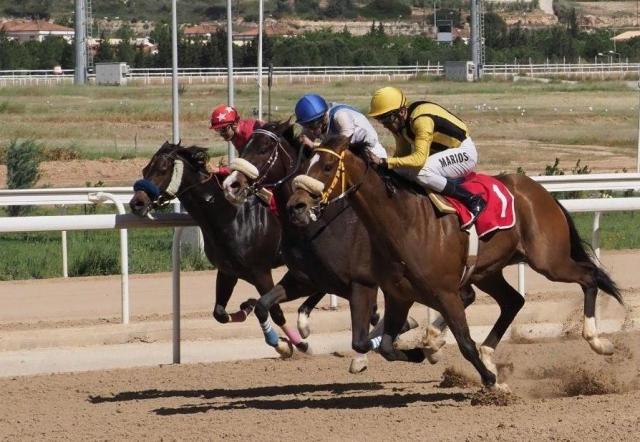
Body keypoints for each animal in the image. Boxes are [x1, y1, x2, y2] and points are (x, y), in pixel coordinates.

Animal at [128, 142, 324, 356]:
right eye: (145, 169)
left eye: (163, 169)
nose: (136, 203)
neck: (231, 216)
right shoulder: (227, 271)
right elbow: (219, 313)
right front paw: (246, 308)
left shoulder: (261, 271)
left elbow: (275, 310)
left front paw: (291, 344)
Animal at [222, 123, 428, 372]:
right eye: (243, 147)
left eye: (263, 149)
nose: (231, 185)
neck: (318, 226)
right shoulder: (305, 279)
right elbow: (264, 305)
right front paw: (283, 344)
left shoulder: (359, 283)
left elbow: (364, 333)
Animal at [288, 136, 624, 390]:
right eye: (305, 164)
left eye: (328, 166)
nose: (297, 205)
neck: (403, 222)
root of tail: (538, 191)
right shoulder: (399, 295)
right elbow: (385, 347)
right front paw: (420, 352)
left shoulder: (445, 293)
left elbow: (464, 342)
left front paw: (494, 382)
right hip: (488, 271)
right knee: (514, 300)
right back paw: (488, 353)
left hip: (548, 260)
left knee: (589, 276)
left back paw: (598, 341)